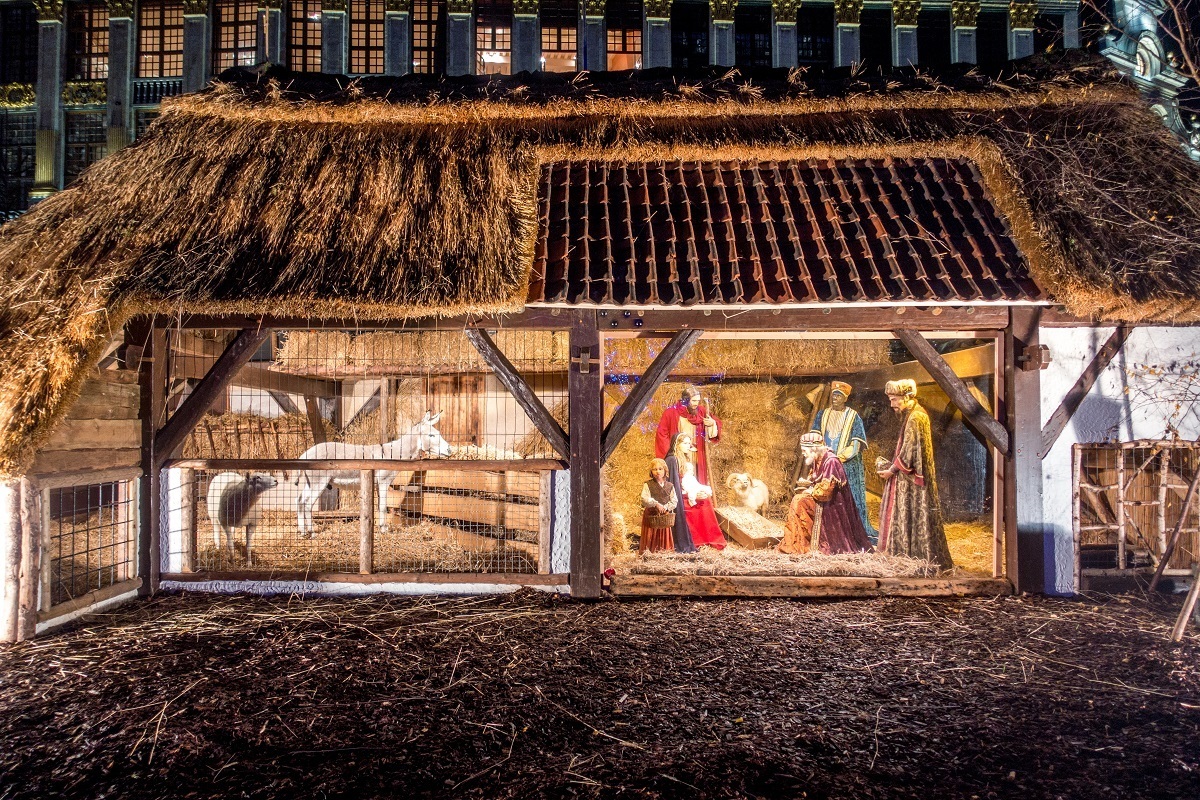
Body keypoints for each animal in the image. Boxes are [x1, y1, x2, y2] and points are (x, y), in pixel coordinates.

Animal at [296, 412, 453, 537]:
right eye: (432, 435)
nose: (450, 450)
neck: (392, 453)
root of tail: (305, 453)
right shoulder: (384, 481)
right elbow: (383, 506)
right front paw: (384, 530)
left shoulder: (378, 484)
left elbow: (379, 506)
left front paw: (380, 527)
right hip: (319, 481)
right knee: (308, 504)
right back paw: (312, 532)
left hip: (310, 483)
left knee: (300, 501)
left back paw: (302, 532)